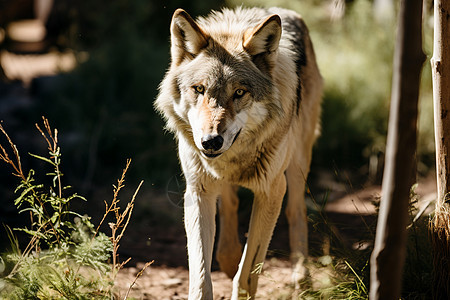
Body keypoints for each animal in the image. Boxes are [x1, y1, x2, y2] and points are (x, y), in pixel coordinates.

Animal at [156, 5, 322, 298]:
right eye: (199, 89)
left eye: (240, 93)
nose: (211, 141)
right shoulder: (197, 192)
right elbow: (201, 277)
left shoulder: (270, 191)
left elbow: (247, 274)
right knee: (230, 203)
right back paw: (229, 256)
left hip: (297, 164)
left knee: (297, 211)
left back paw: (302, 279)